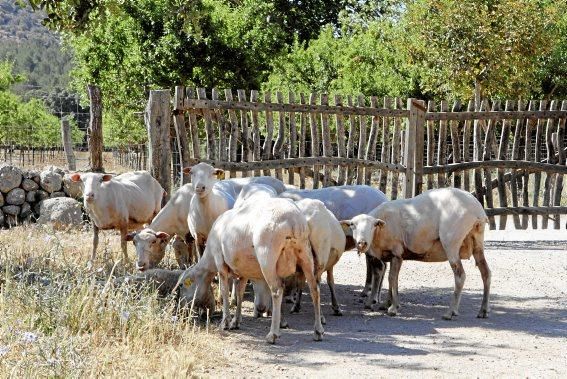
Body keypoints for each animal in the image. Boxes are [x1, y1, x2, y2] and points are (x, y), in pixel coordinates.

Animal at [342, 187, 492, 320]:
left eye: (373, 225)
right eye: (352, 225)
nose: (362, 243)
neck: (380, 231)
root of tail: (477, 209)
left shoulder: (396, 252)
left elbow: (392, 278)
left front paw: (393, 308)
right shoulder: (394, 256)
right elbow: (393, 279)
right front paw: (387, 304)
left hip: (451, 243)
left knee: (460, 276)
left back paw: (450, 312)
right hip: (477, 241)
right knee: (486, 273)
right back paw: (483, 311)